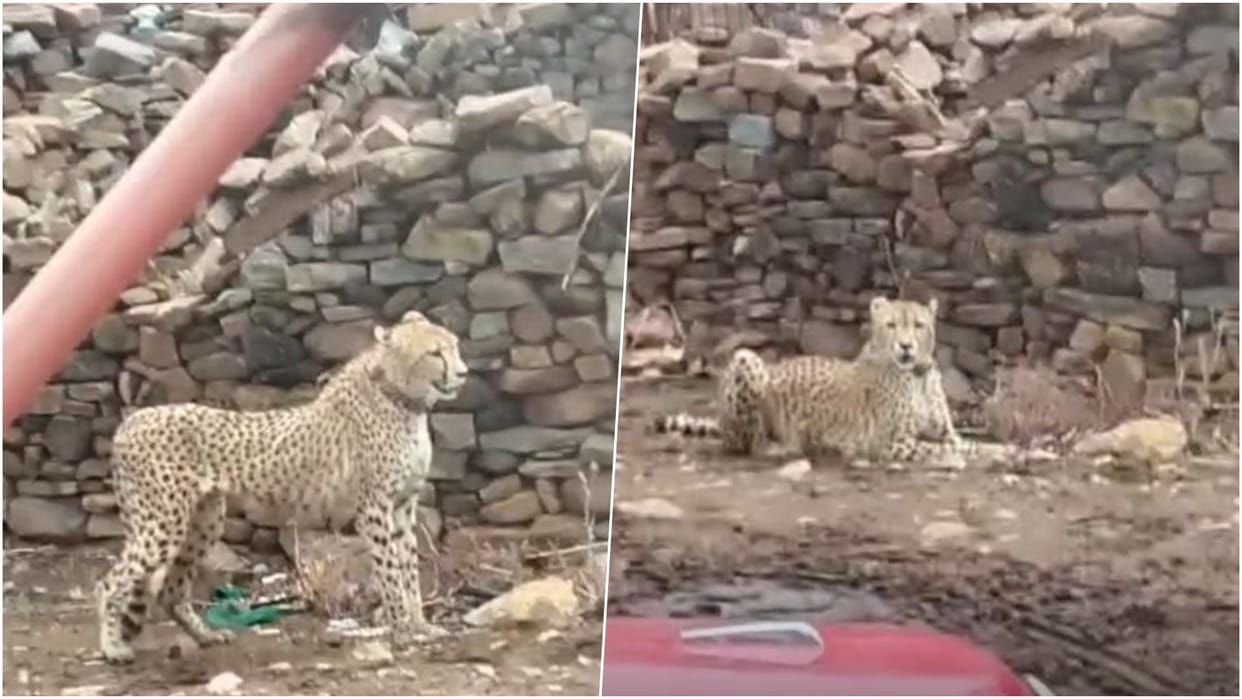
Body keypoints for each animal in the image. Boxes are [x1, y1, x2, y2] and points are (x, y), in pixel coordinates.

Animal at [96, 310, 467, 664]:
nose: (463, 373)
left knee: (170, 590)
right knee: (111, 582)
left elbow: (409, 570)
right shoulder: (376, 509)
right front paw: (403, 629)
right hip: (163, 525)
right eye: (435, 353)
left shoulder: (404, 504)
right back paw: (113, 647)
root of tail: (131, 421)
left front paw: (420, 625)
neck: (400, 398)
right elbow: (390, 571)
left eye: (454, 345)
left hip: (202, 522)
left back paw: (205, 635)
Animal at [654, 297, 970, 467]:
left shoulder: (945, 433)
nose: (905, 346)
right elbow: (946, 449)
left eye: (918, 325)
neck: (918, 374)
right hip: (746, 357)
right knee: (751, 444)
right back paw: (790, 446)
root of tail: (721, 420)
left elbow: (963, 443)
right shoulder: (891, 443)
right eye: (891, 325)